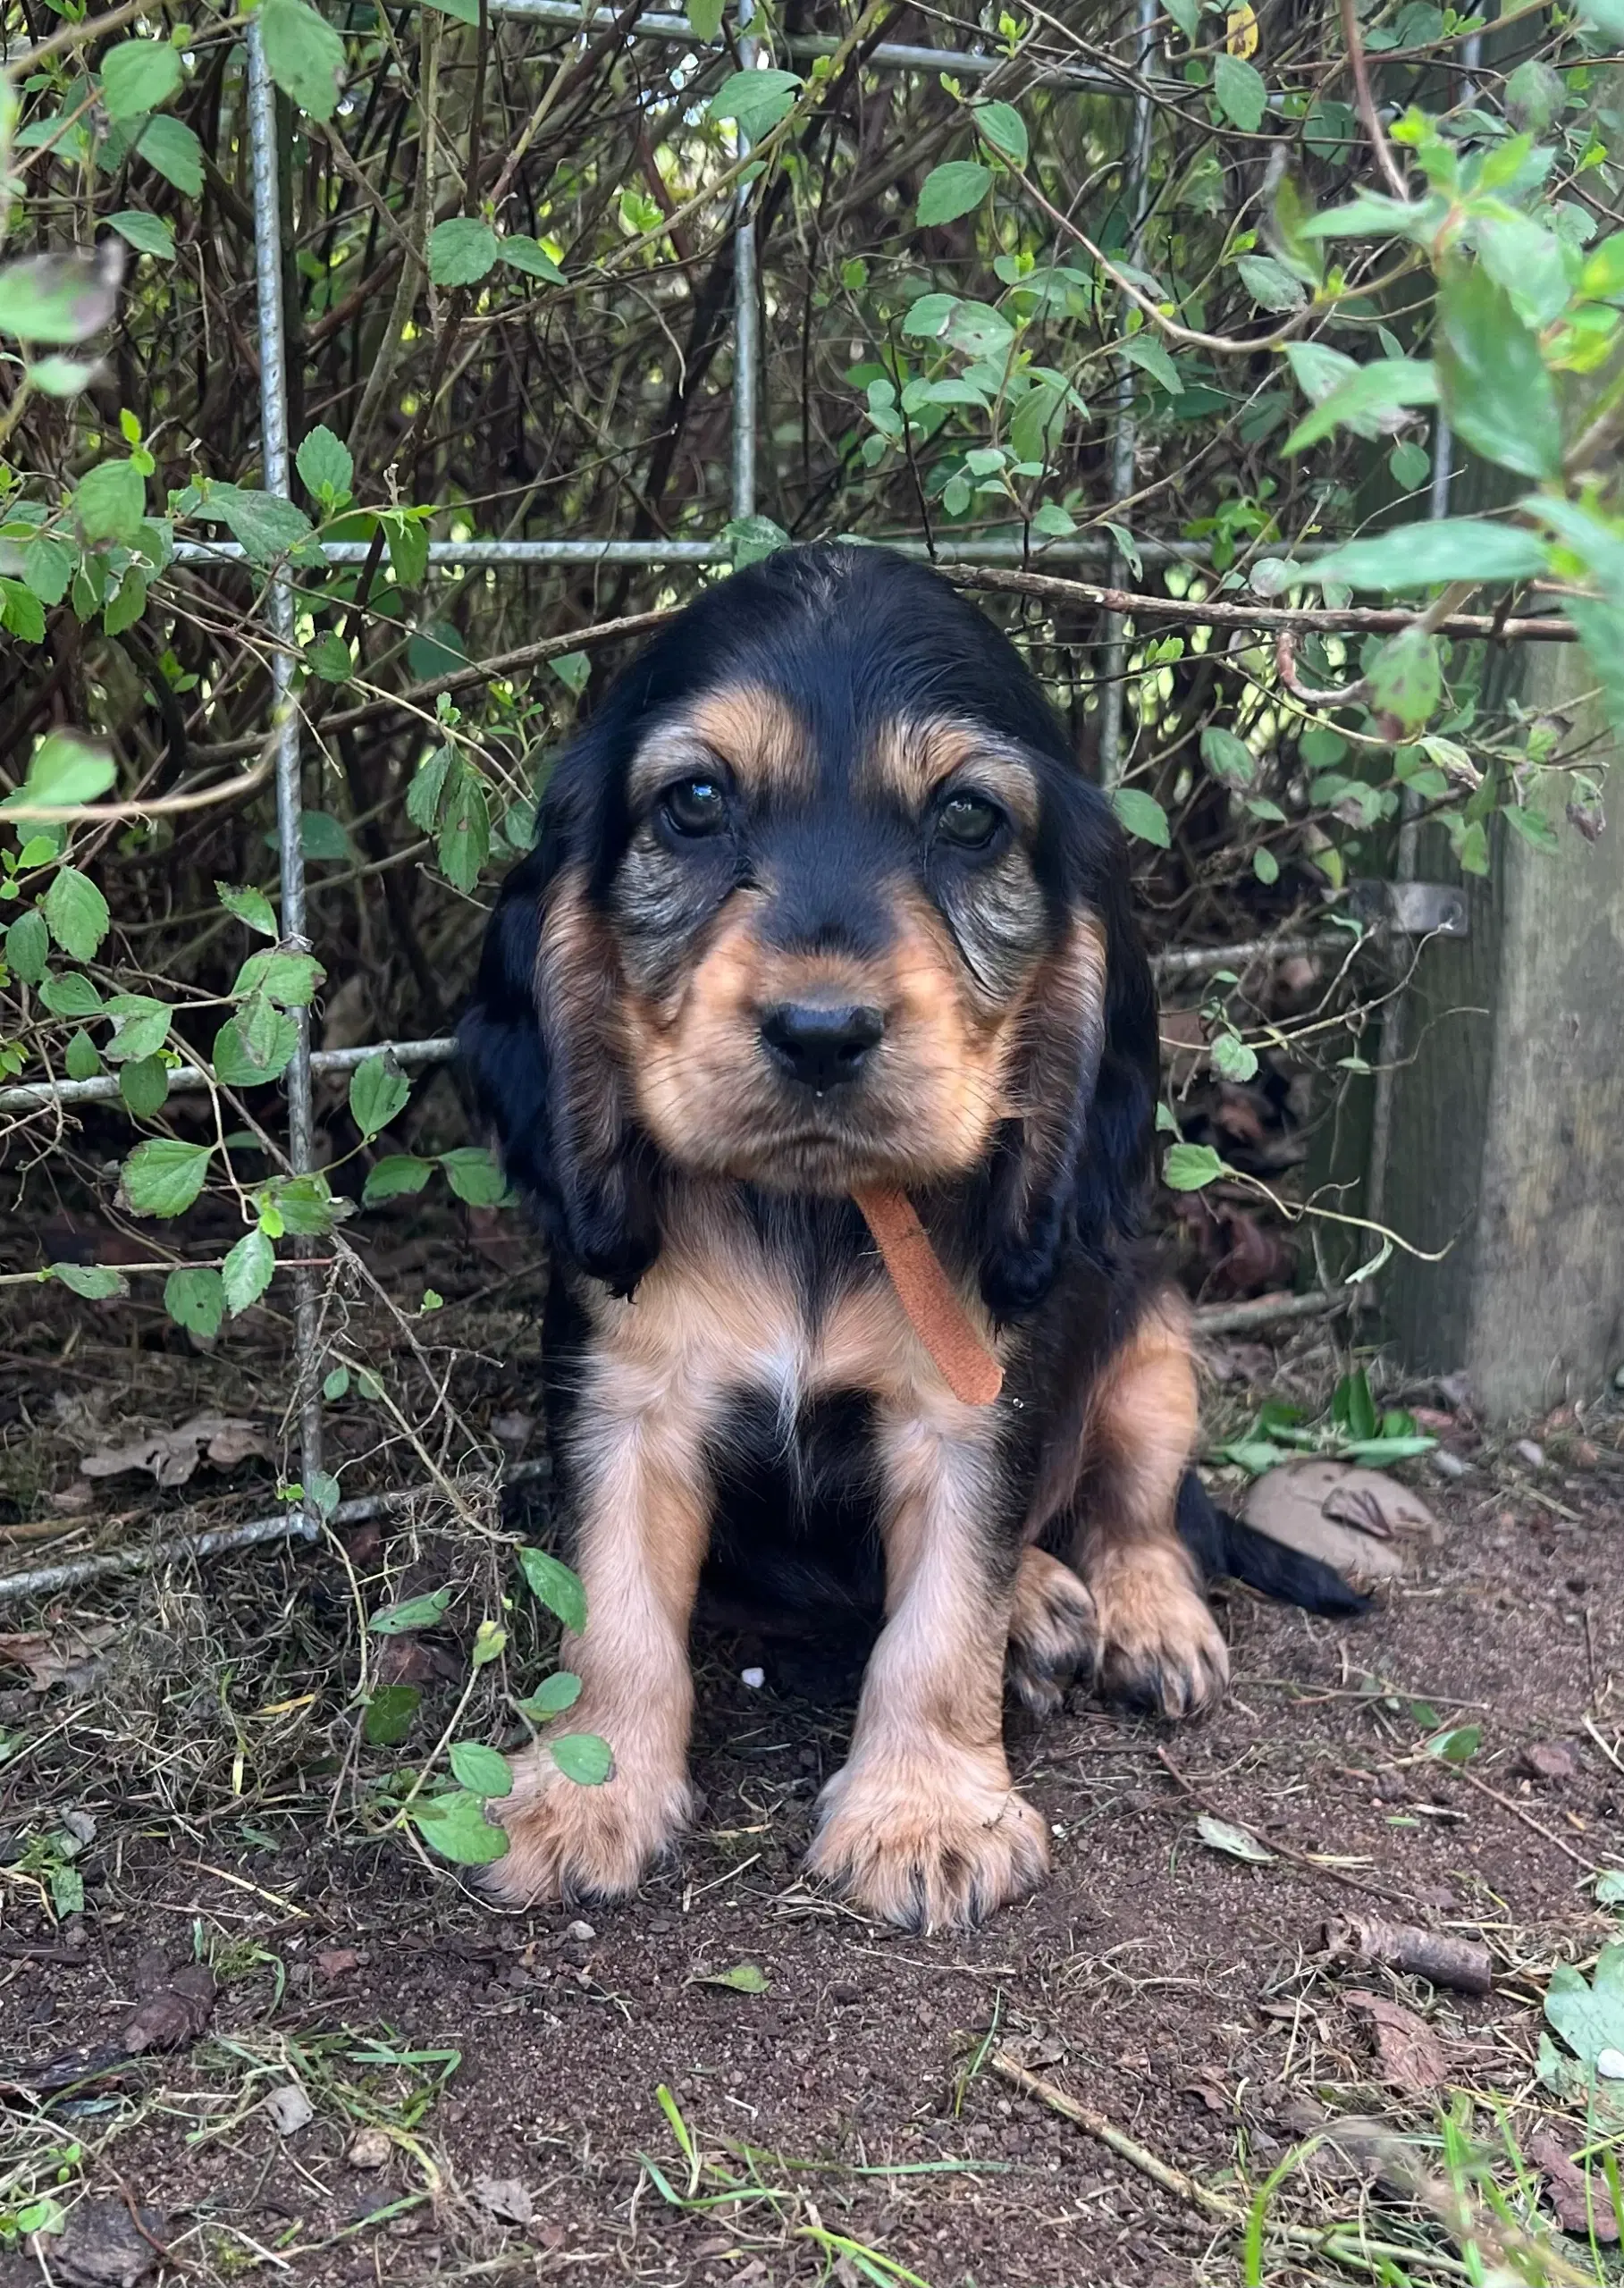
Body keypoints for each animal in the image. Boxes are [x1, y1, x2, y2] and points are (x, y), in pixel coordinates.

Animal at [461, 540, 1363, 1930]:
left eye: (969, 820)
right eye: (694, 802)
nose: (821, 1031)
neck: (820, 1210)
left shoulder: (973, 1415)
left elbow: (943, 1617)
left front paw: (927, 1812)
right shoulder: (623, 1396)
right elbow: (611, 1607)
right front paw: (582, 1791)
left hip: (1157, 1344)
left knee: (1147, 1515)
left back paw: (1126, 1617)